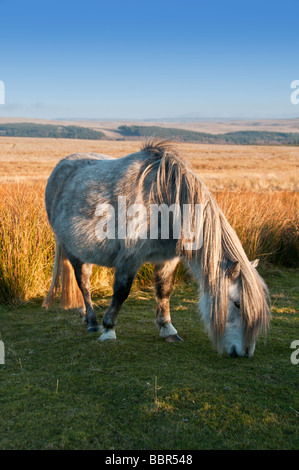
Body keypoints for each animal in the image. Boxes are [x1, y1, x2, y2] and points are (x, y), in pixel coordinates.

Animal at [43, 141, 270, 358]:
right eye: (237, 304)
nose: (245, 352)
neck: (163, 201)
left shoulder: (167, 259)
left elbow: (164, 291)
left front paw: (168, 329)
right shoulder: (130, 258)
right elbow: (121, 292)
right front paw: (109, 330)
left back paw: (84, 315)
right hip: (73, 252)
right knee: (83, 284)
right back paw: (92, 323)